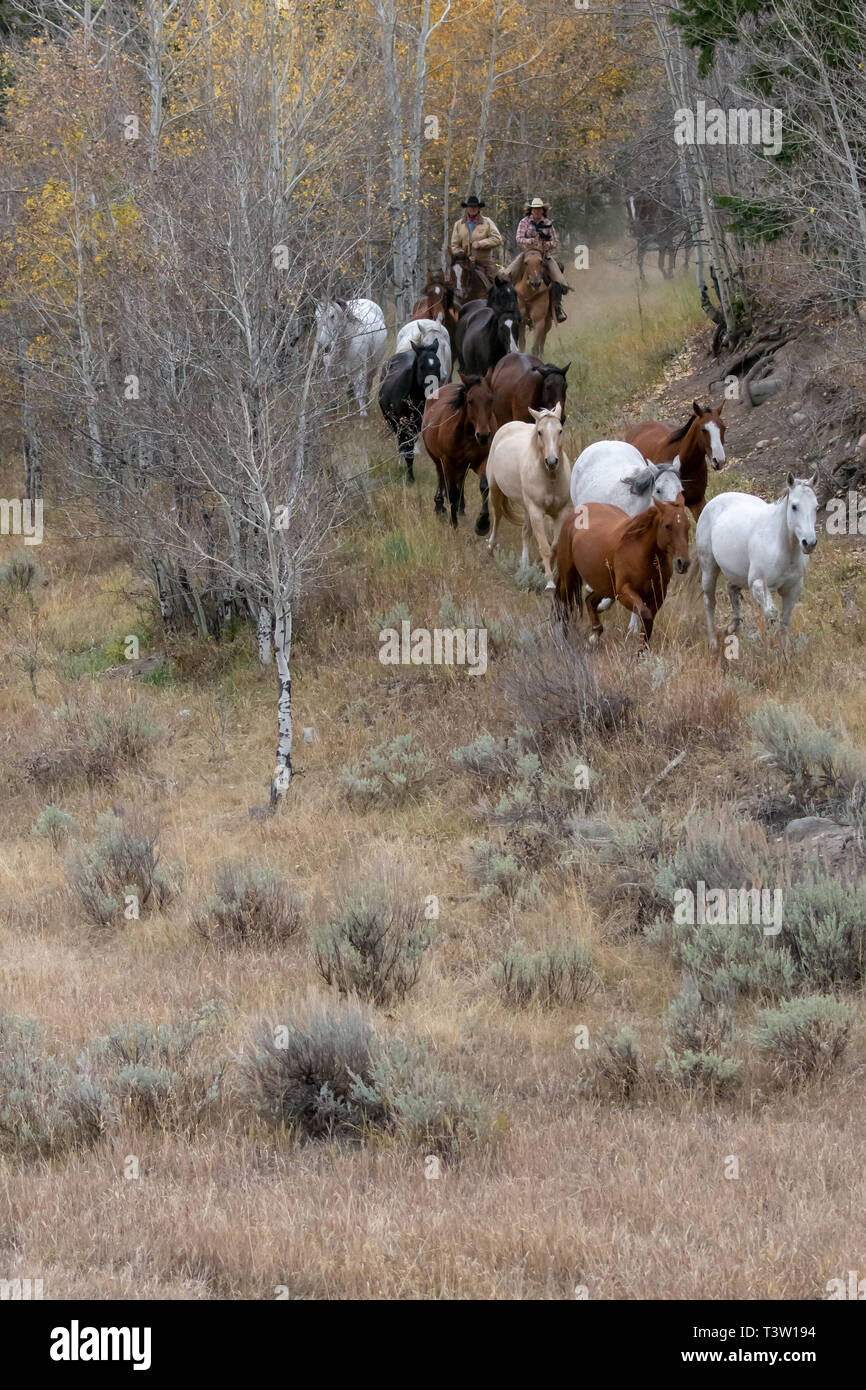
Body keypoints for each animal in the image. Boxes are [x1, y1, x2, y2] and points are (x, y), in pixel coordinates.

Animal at [422, 372, 497, 528]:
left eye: (490, 399)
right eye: (470, 401)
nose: (483, 435)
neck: (467, 435)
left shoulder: (483, 458)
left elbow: (484, 486)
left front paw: (482, 522)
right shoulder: (447, 460)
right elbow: (452, 492)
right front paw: (453, 522)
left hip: (462, 465)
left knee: (461, 481)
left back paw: (460, 508)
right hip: (438, 460)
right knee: (441, 477)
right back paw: (440, 506)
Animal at [483, 403, 572, 586]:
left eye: (560, 430)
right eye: (540, 432)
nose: (552, 461)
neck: (550, 479)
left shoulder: (560, 512)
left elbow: (555, 546)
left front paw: (551, 572)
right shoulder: (536, 511)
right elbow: (545, 547)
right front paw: (549, 583)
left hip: (526, 507)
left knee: (525, 532)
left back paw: (524, 566)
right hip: (496, 490)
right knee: (498, 516)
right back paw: (491, 546)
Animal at [556, 497, 692, 647]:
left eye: (688, 526)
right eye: (668, 526)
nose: (683, 562)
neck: (640, 553)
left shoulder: (658, 595)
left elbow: (647, 624)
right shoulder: (624, 591)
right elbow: (645, 615)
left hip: (605, 584)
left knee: (589, 600)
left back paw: (595, 634)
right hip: (568, 577)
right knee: (563, 605)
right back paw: (562, 640)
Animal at [695, 469, 817, 647]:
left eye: (816, 507)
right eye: (794, 506)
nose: (809, 543)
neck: (782, 547)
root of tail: (713, 502)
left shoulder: (793, 588)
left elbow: (785, 620)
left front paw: (785, 648)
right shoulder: (758, 583)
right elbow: (771, 613)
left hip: (736, 573)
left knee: (732, 589)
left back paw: (732, 627)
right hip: (709, 568)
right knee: (709, 601)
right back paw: (713, 642)